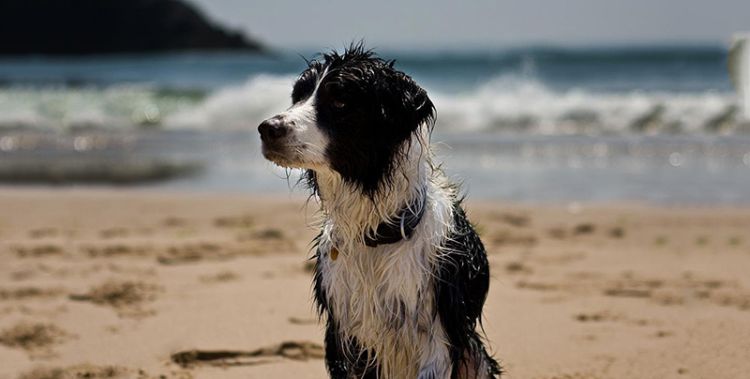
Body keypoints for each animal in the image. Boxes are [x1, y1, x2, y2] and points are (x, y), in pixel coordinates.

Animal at [258, 45, 500, 379]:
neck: (376, 233)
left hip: (474, 356)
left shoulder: (437, 337)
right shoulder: (345, 334)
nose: (267, 129)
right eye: (298, 96)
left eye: (340, 100)